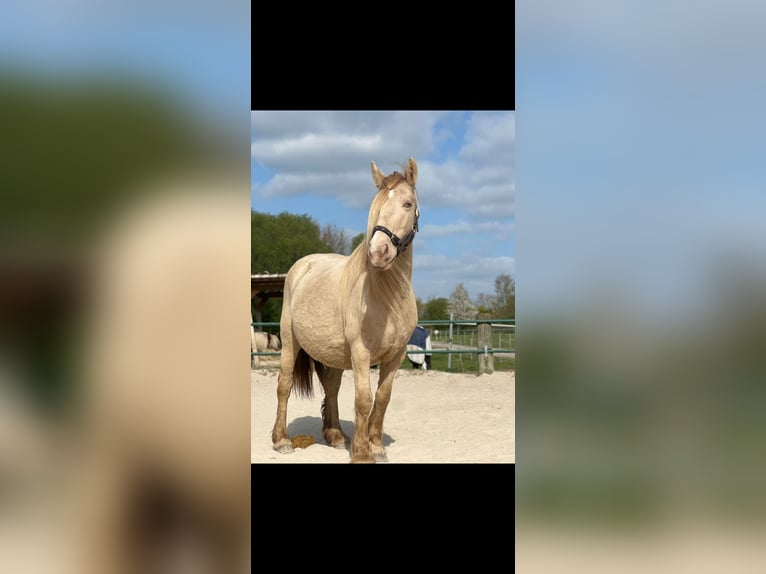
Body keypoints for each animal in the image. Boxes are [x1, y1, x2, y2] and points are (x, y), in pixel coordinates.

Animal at [271, 157, 420, 463]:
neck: (386, 297)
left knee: (331, 387)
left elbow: (382, 398)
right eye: (376, 205)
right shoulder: (361, 353)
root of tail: (302, 266)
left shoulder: (396, 355)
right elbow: (363, 399)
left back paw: (336, 435)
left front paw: (376, 447)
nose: (378, 252)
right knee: (284, 384)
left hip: (334, 355)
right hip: (290, 343)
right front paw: (362, 453)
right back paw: (281, 440)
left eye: (407, 203)